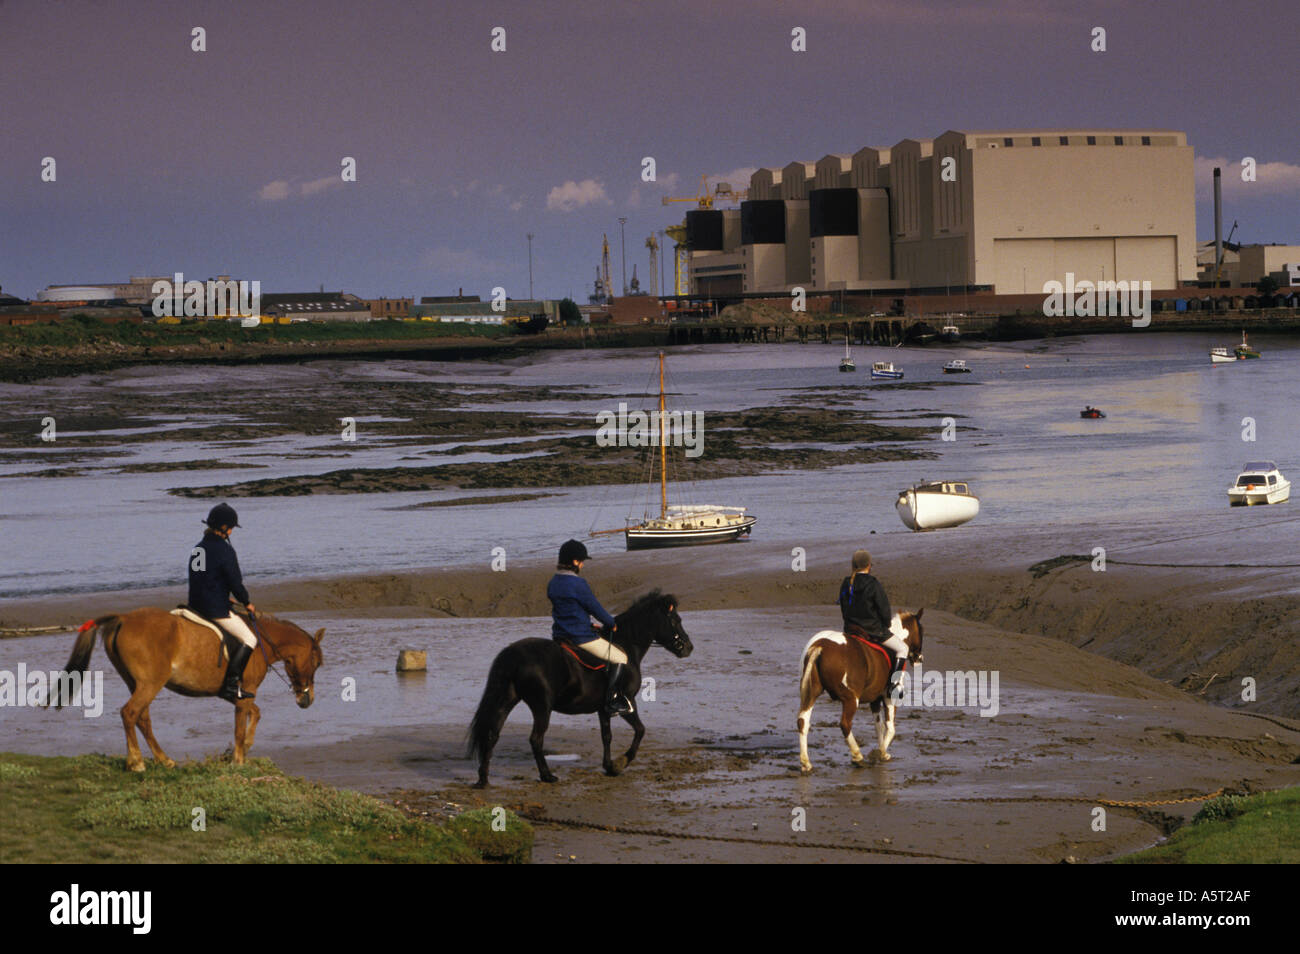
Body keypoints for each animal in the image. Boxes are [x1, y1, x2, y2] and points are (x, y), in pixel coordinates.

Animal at [52, 608, 323, 774]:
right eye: (317, 662)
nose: (307, 699)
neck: (261, 642)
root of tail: (123, 618)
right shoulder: (247, 690)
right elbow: (240, 725)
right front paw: (238, 761)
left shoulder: (238, 695)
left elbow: (254, 714)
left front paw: (242, 750)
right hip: (150, 683)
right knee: (130, 713)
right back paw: (137, 763)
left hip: (136, 683)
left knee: (142, 718)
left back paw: (163, 759)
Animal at [467, 595, 691, 790]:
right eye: (676, 619)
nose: (688, 648)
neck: (626, 645)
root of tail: (513, 654)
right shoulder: (627, 702)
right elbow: (640, 730)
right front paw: (621, 763)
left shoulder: (603, 708)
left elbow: (607, 735)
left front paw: (609, 766)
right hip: (542, 706)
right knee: (535, 739)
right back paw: (547, 776)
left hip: (507, 699)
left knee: (492, 735)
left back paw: (483, 780)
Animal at [790, 613, 925, 779]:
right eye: (921, 630)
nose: (920, 658)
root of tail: (821, 645)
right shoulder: (888, 697)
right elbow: (890, 727)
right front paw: (880, 753)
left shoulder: (874, 700)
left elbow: (878, 726)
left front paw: (882, 750)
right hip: (851, 699)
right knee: (845, 724)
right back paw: (858, 757)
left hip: (812, 692)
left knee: (803, 721)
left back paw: (806, 763)